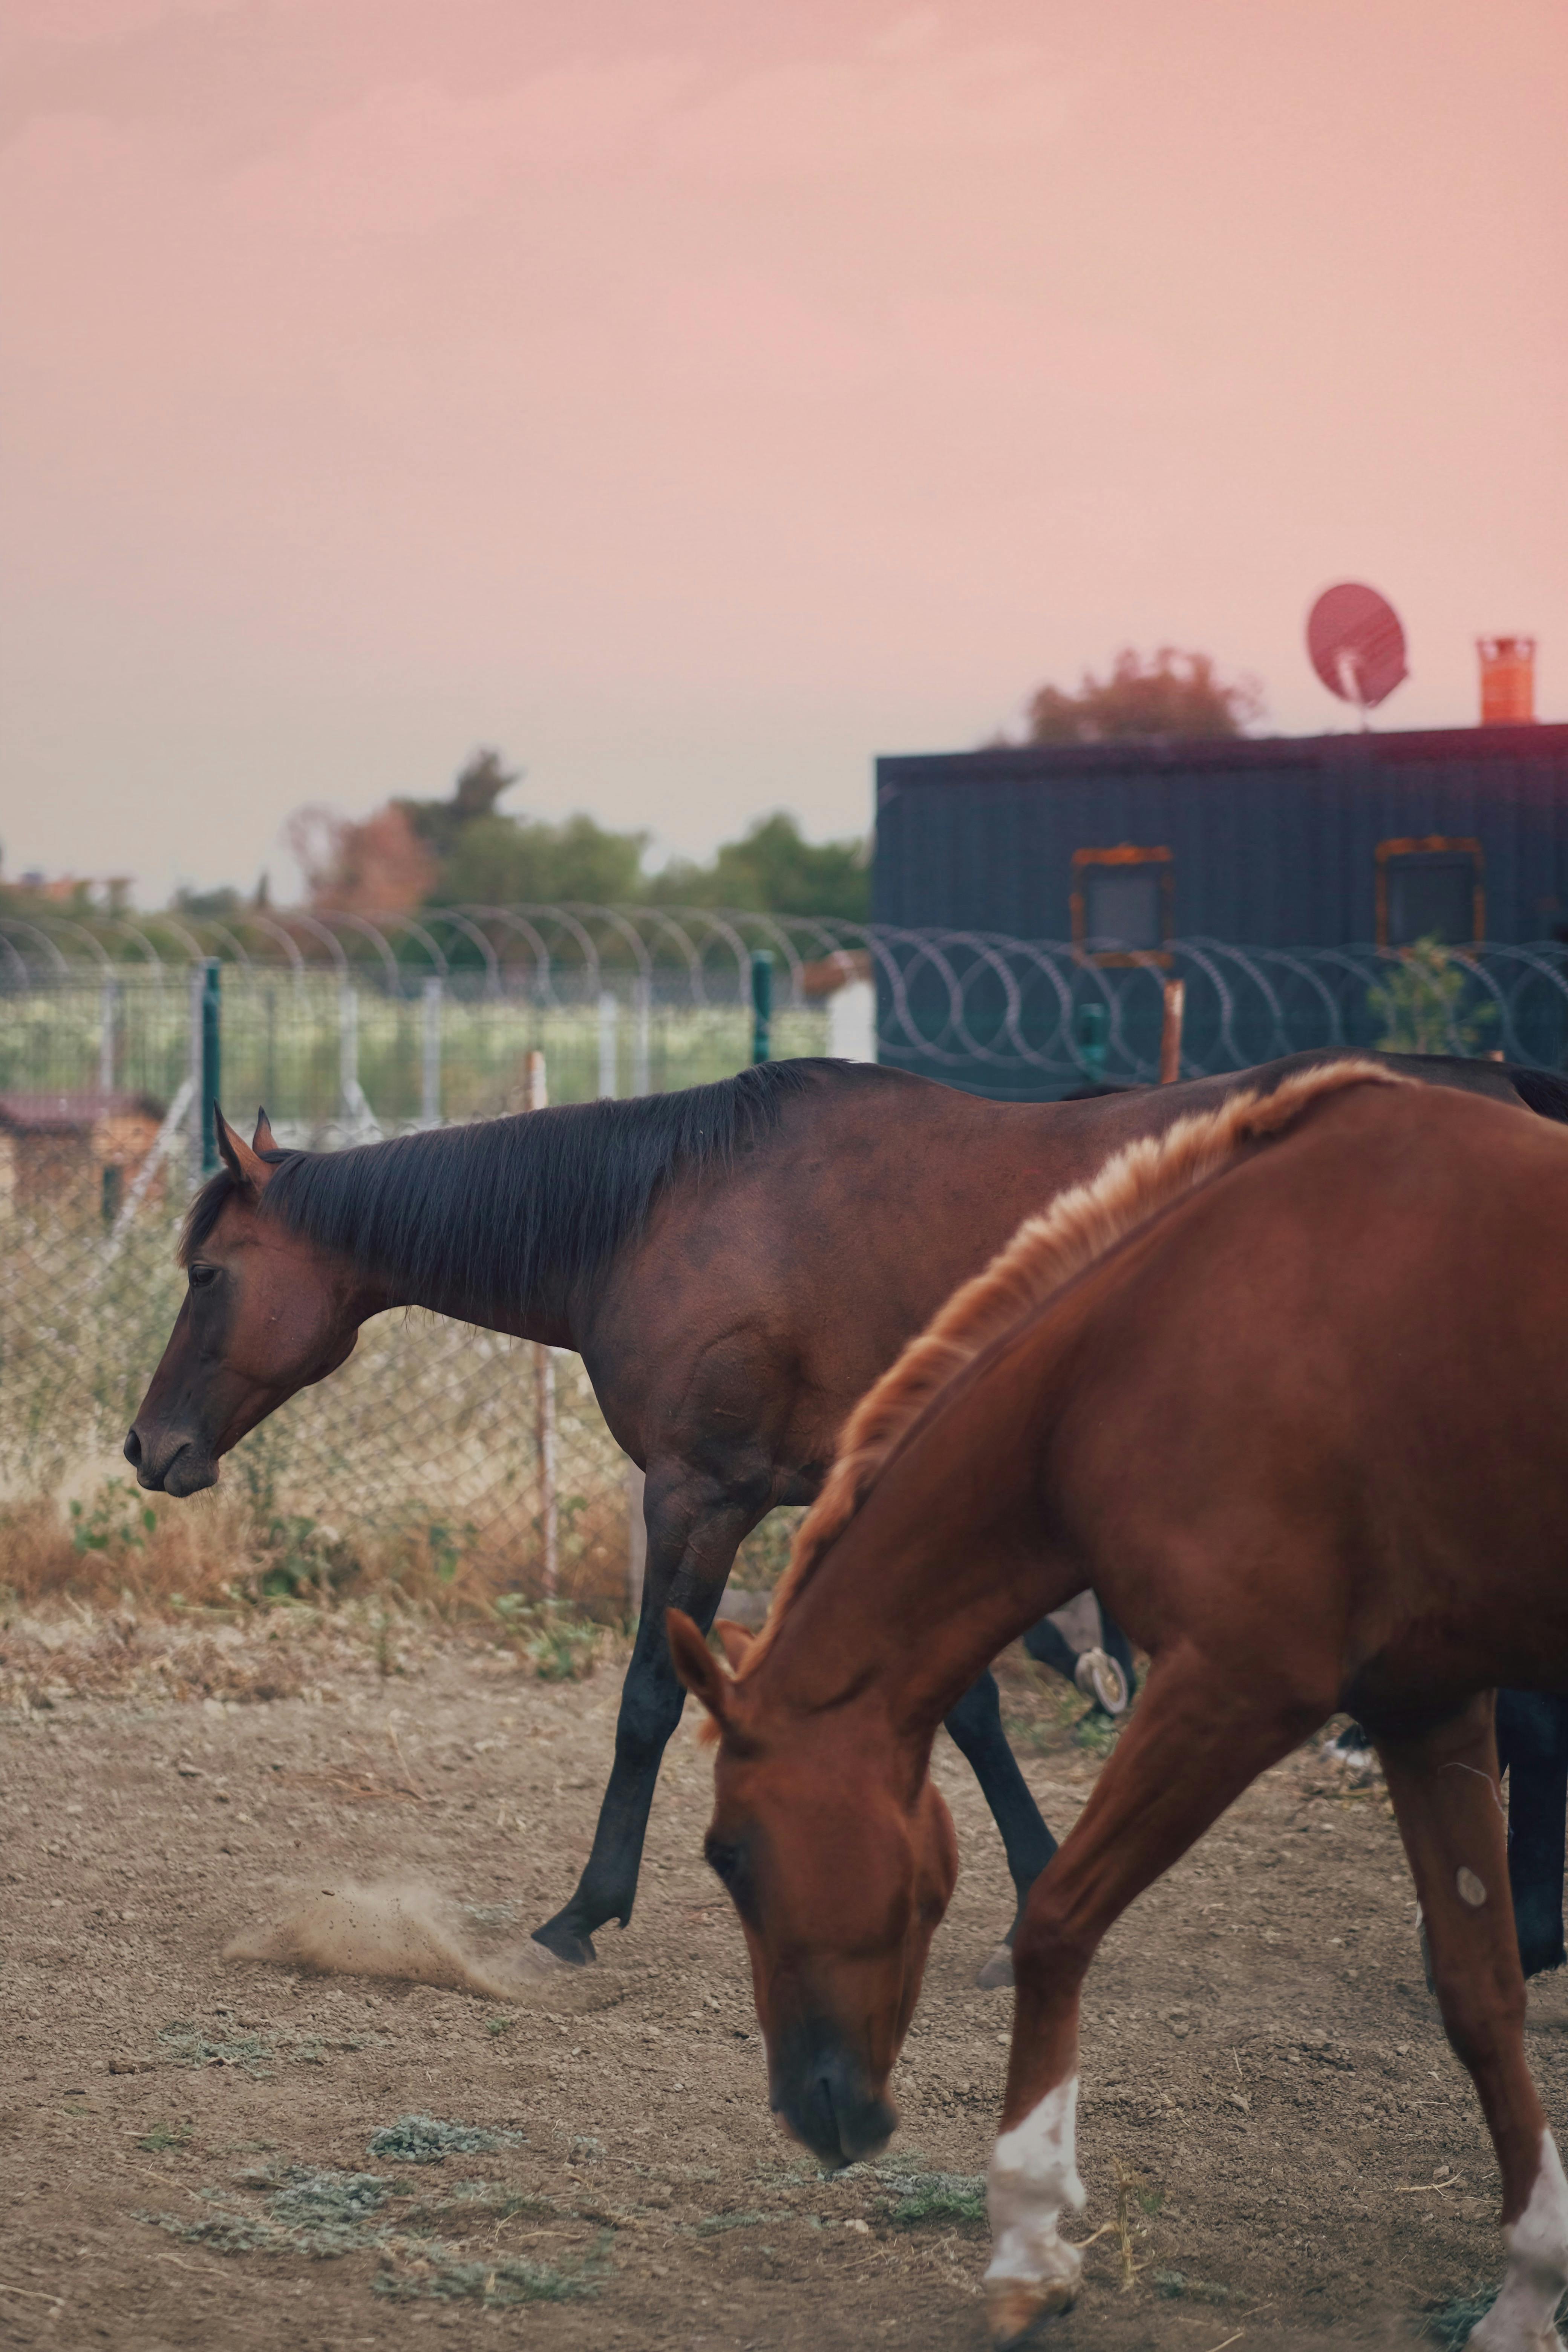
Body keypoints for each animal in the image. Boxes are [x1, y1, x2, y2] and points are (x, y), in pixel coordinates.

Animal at [124, 1048, 1567, 1973]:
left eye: (207, 1274)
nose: (147, 1447)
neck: (665, 1207)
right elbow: (970, 1707)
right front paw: (1034, 1890)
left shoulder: (702, 1494)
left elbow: (648, 1698)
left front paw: (582, 1913)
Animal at [671, 1061, 1568, 2351]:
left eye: (730, 1853)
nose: (809, 2109)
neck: (1139, 1344)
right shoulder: (1425, 1705)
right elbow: (1479, 1992)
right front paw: (1528, 2287)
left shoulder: (1234, 1684)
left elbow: (1054, 1919)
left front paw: (1027, 2241)